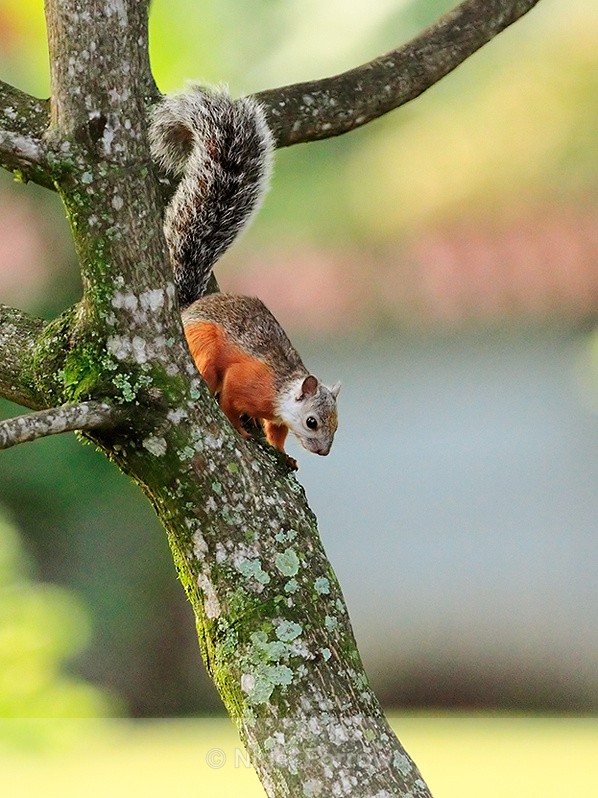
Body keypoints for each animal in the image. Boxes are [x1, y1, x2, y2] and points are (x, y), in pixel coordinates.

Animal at [149, 85, 340, 468]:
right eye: (312, 421)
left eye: (337, 424)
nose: (324, 451)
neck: (280, 391)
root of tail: (187, 309)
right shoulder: (245, 380)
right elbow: (230, 401)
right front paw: (240, 428)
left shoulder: (276, 419)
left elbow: (277, 434)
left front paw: (285, 455)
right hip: (203, 343)